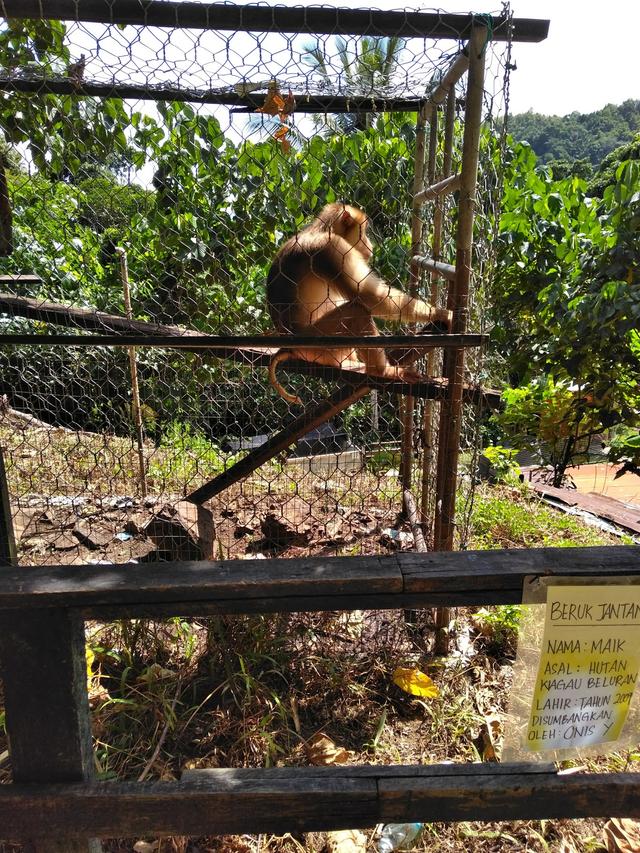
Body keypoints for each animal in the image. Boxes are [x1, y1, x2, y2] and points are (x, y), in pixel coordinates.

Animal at [266, 202, 452, 403]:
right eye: (363, 232)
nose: (370, 246)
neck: (320, 230)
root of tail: (292, 348)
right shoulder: (333, 249)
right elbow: (366, 296)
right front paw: (442, 313)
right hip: (316, 346)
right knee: (357, 311)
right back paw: (382, 371)